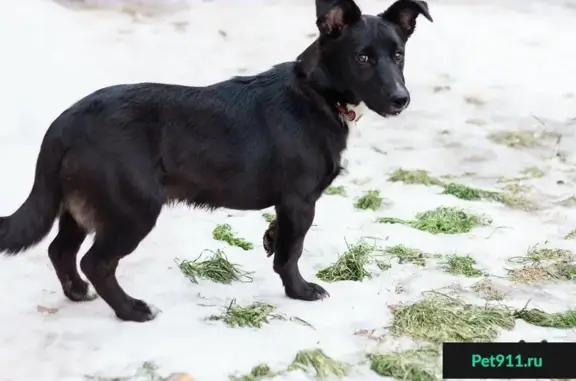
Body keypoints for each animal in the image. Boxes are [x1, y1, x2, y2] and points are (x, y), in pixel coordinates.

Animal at [0, 0, 432, 320]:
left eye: (398, 55)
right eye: (362, 59)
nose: (401, 99)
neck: (314, 91)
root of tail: (66, 122)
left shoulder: (288, 203)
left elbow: (281, 238)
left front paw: (271, 239)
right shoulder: (300, 200)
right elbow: (292, 252)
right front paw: (299, 291)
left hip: (80, 204)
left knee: (61, 251)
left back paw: (77, 293)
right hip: (133, 208)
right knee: (96, 262)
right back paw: (131, 310)